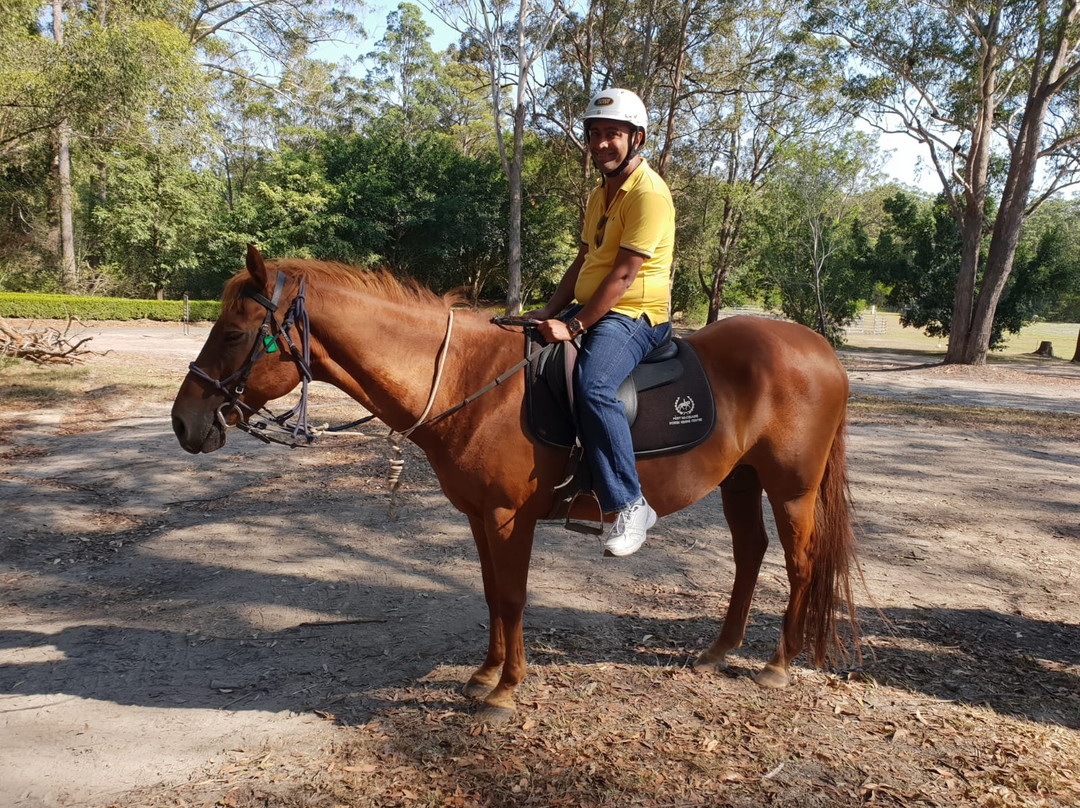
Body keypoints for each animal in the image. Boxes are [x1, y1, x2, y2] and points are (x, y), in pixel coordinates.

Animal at [171, 245, 860, 723]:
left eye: (233, 333)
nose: (184, 422)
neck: (470, 381)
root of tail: (819, 348)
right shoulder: (480, 517)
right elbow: (490, 594)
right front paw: (486, 673)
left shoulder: (508, 517)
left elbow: (512, 596)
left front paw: (505, 690)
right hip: (740, 480)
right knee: (750, 556)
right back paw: (720, 651)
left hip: (791, 488)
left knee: (799, 563)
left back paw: (778, 664)